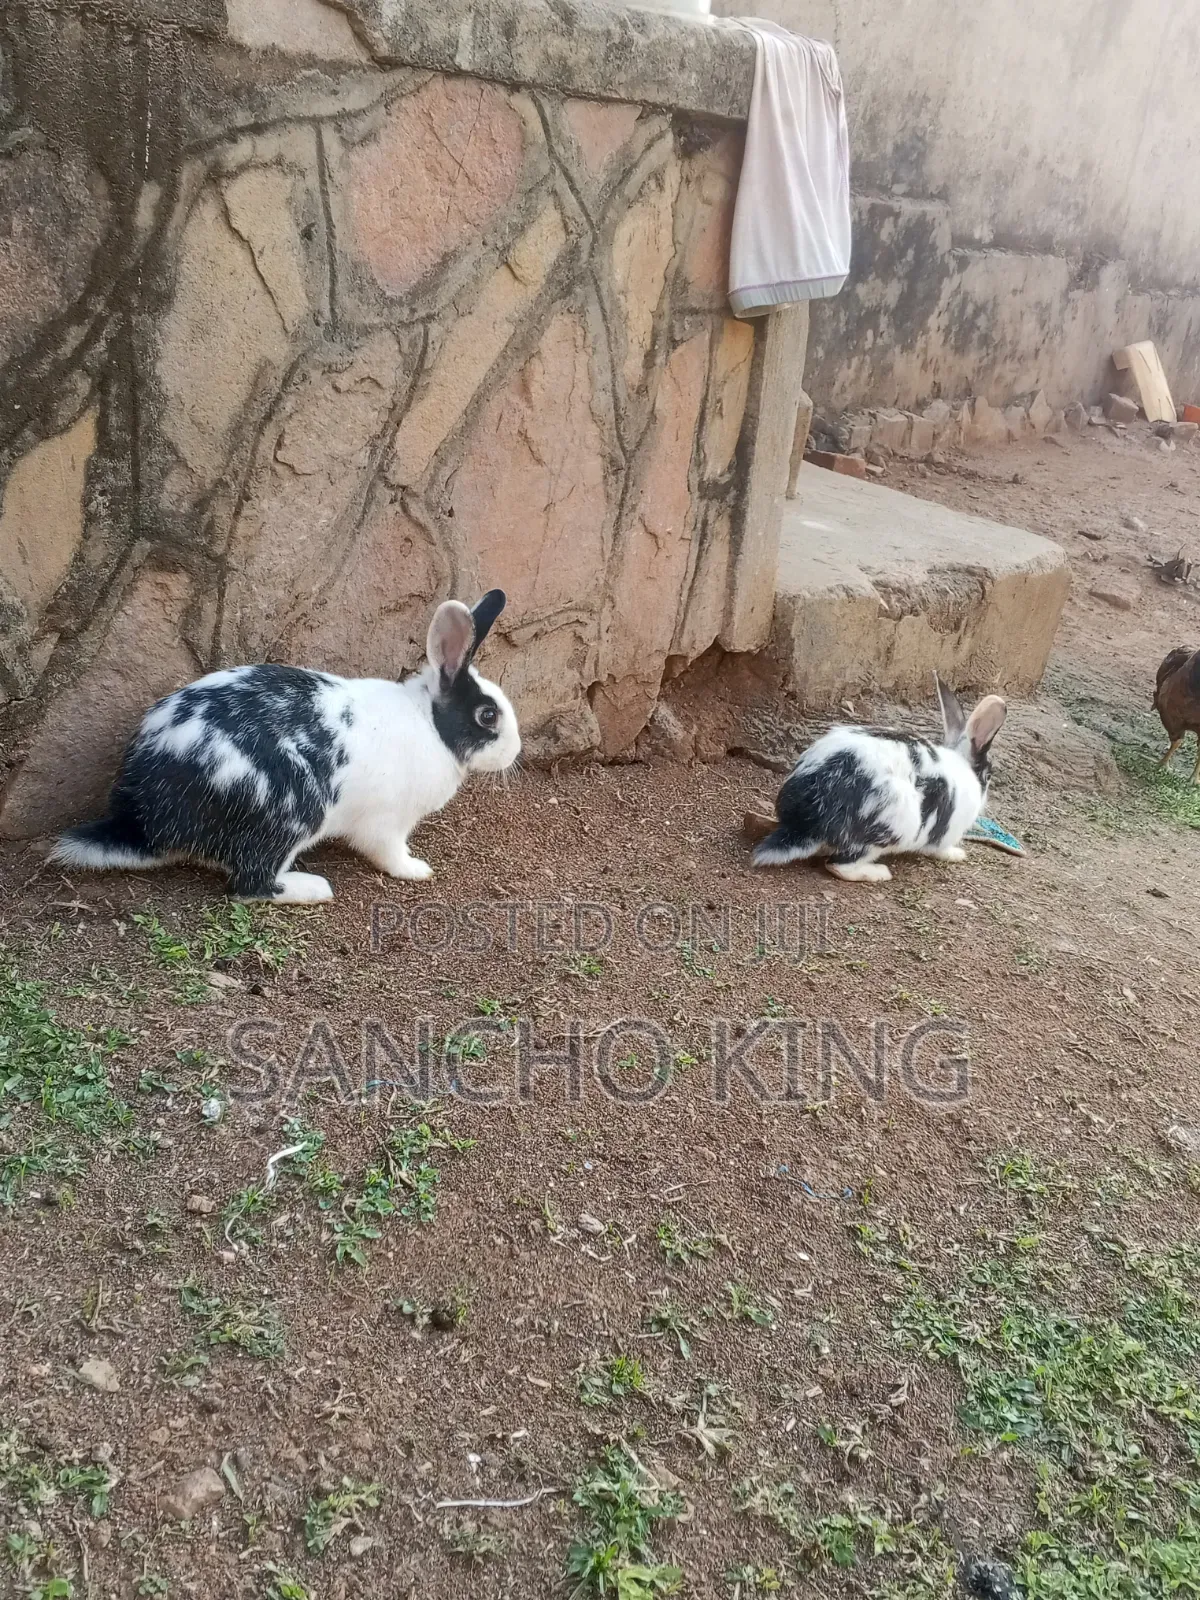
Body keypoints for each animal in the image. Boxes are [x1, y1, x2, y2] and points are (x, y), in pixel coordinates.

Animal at [50, 590, 520, 903]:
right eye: (487, 716)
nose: (515, 751)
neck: (431, 725)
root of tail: (143, 819)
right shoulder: (387, 823)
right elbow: (389, 852)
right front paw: (417, 871)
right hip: (294, 814)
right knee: (250, 883)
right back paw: (312, 888)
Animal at [752, 675, 1007, 882]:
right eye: (989, 775)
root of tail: (805, 822)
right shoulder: (944, 835)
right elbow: (940, 849)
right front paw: (957, 855)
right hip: (890, 831)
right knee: (838, 866)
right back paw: (880, 873)